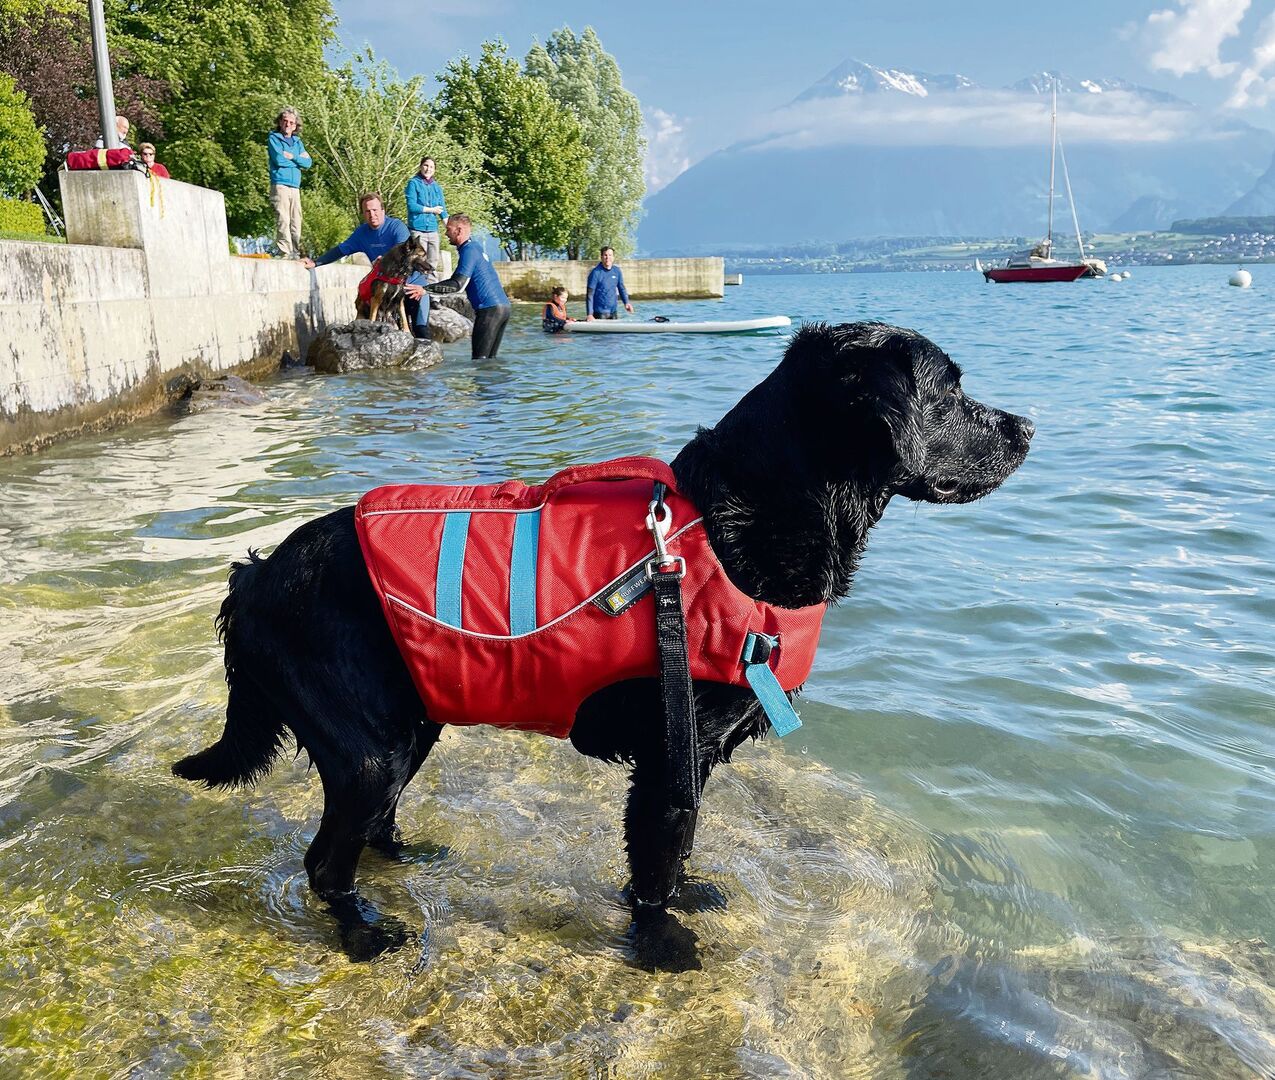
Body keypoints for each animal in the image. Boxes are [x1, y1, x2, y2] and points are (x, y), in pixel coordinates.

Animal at [173, 322, 1033, 960]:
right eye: (949, 389)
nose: (1027, 425)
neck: (731, 526)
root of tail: (254, 576)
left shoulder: (689, 755)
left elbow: (677, 848)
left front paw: (686, 899)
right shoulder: (671, 749)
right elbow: (658, 853)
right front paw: (662, 944)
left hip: (409, 723)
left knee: (375, 824)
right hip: (366, 747)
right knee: (324, 863)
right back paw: (362, 936)